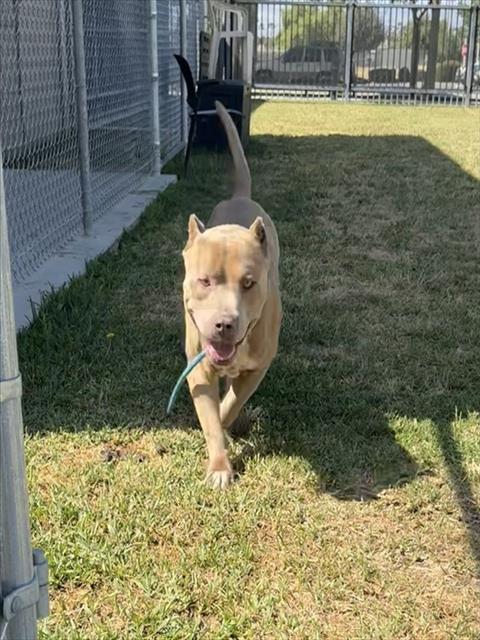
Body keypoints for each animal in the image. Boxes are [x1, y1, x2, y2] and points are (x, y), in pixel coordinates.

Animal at [182, 101, 282, 489]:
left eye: (249, 283)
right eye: (205, 281)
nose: (225, 323)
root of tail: (241, 197)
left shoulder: (259, 365)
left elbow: (231, 403)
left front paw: (231, 421)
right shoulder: (198, 368)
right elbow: (210, 417)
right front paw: (220, 466)